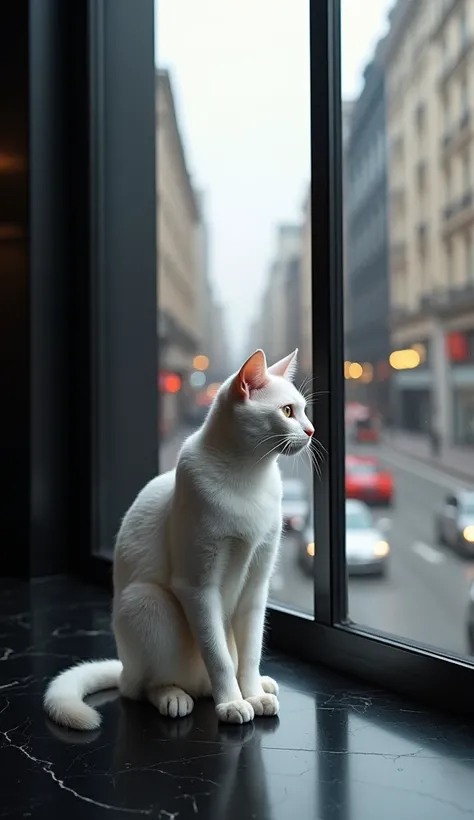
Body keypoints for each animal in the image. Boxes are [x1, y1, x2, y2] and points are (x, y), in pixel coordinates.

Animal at [44, 350, 314, 728]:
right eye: (288, 411)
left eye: (303, 410)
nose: (311, 430)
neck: (250, 477)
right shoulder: (197, 588)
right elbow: (219, 657)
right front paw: (232, 703)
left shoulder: (256, 587)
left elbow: (249, 655)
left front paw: (251, 695)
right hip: (149, 601)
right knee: (144, 687)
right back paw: (174, 697)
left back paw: (261, 685)